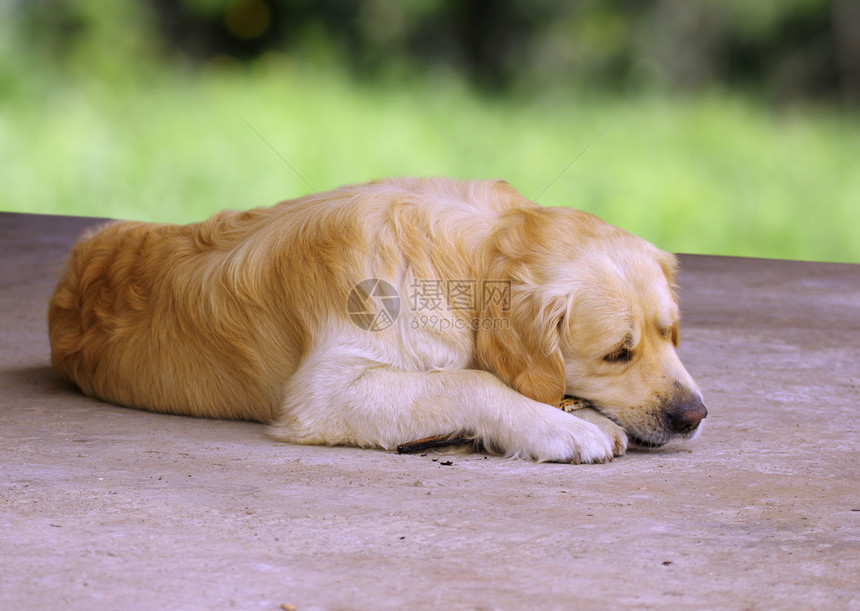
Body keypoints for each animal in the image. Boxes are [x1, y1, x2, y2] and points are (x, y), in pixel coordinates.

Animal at [47, 177, 704, 464]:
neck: (468, 255)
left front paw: (577, 411)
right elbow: (472, 380)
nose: (694, 416)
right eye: (617, 353)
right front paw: (562, 427)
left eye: (670, 333)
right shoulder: (326, 391)